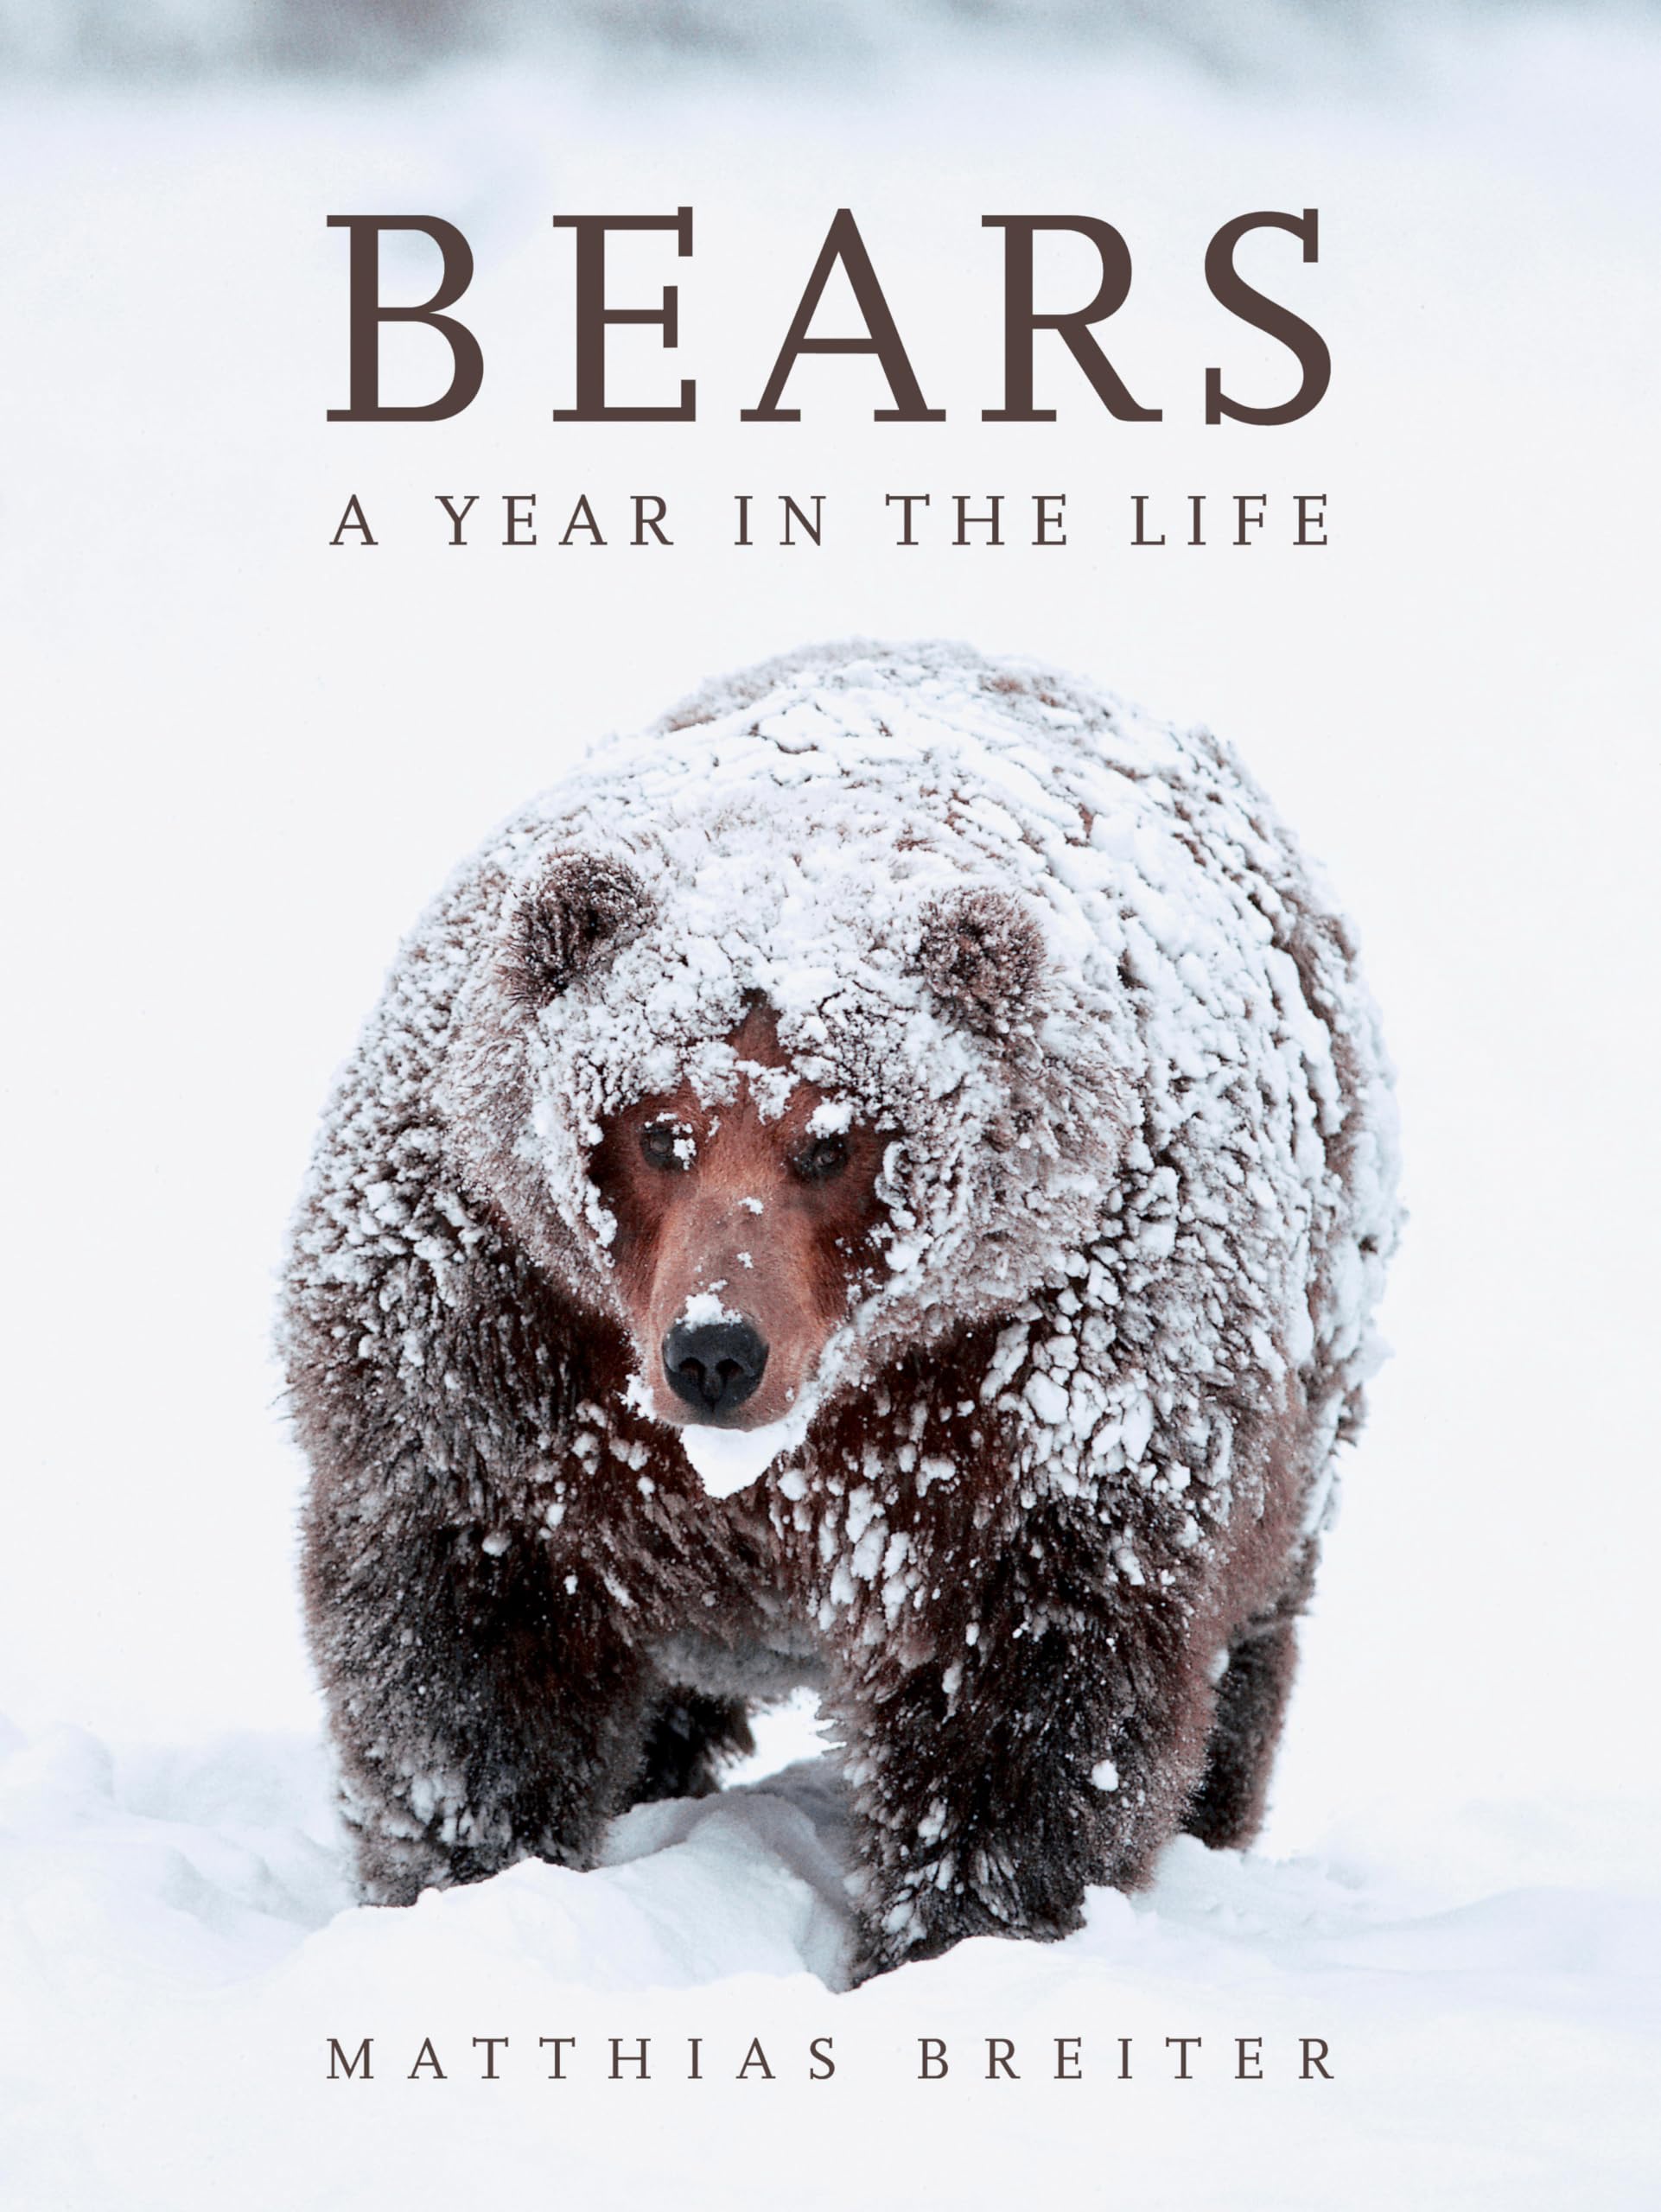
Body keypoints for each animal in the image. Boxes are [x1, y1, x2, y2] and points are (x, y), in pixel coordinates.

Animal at [281, 639, 1399, 1980]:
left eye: (832, 1141)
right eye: (658, 1128)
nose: (715, 1350)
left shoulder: (1042, 1396)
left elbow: (1023, 1713)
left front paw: (960, 1939)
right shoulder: (490, 1343)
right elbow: (463, 1664)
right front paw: (470, 1886)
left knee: (1248, 1637)